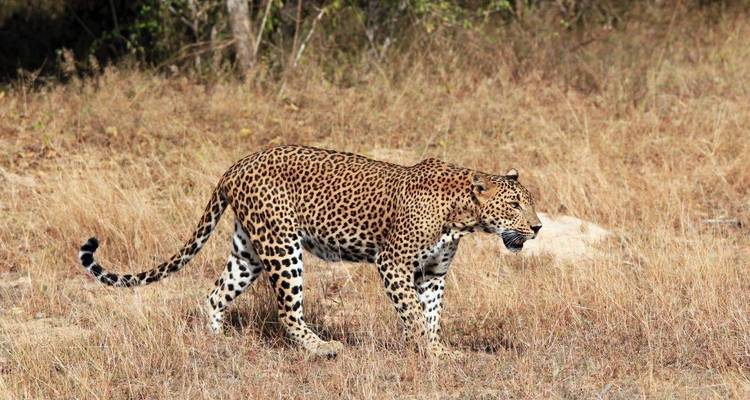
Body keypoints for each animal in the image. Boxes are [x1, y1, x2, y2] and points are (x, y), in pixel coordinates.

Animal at [79, 145, 542, 358]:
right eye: (516, 204)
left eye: (530, 202)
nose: (538, 227)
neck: (462, 215)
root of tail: (236, 165)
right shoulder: (392, 264)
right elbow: (412, 311)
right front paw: (428, 351)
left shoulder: (432, 273)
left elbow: (430, 313)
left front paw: (435, 350)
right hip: (283, 247)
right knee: (287, 311)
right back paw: (322, 348)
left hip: (249, 250)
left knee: (214, 293)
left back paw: (216, 342)